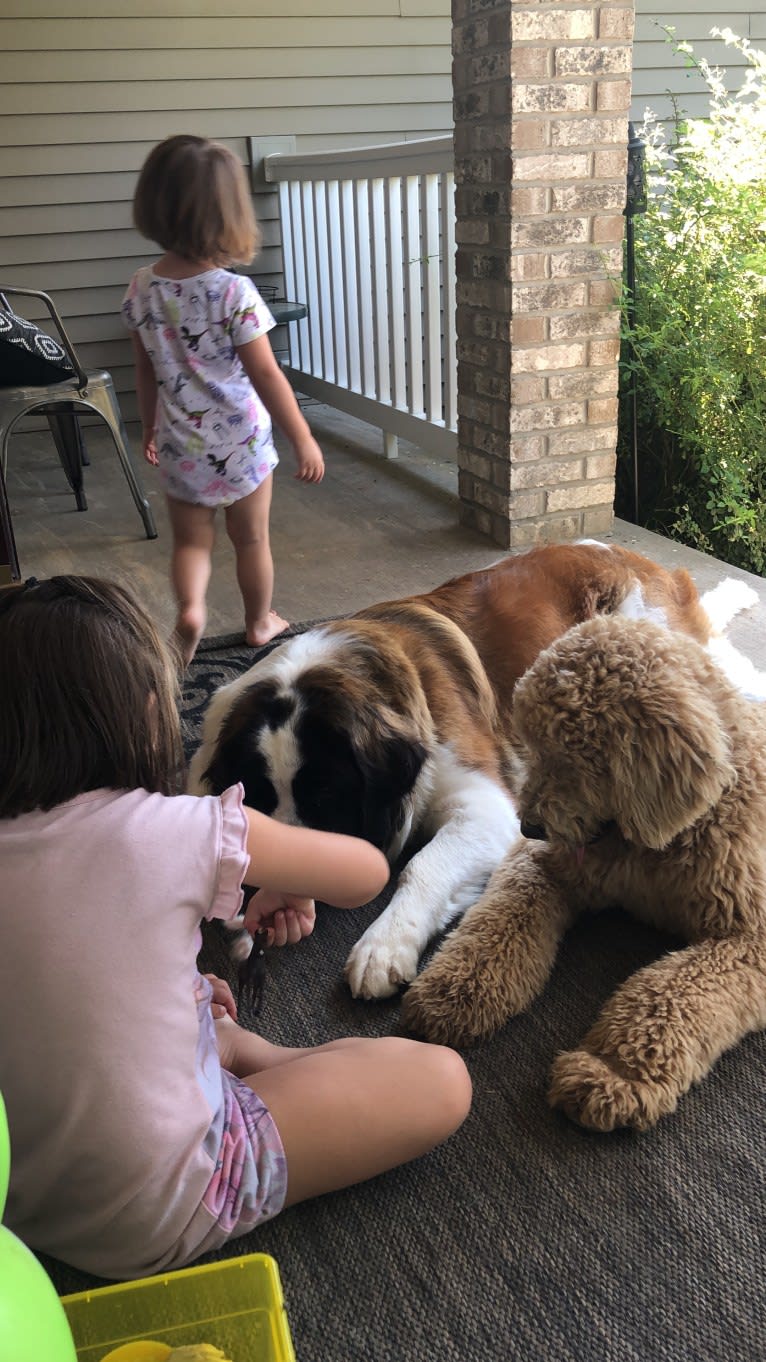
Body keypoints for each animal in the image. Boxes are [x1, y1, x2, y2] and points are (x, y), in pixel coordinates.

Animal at [186, 542, 757, 1002]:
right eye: (258, 800)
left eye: (325, 797)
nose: (274, 892)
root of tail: (643, 561)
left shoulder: (486, 806)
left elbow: (423, 865)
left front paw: (383, 945)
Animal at [400, 618, 763, 1127]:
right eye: (533, 747)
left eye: (572, 758)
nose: (529, 827)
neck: (653, 846)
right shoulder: (540, 866)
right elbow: (497, 925)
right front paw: (455, 990)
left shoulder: (745, 940)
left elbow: (670, 991)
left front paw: (612, 1072)